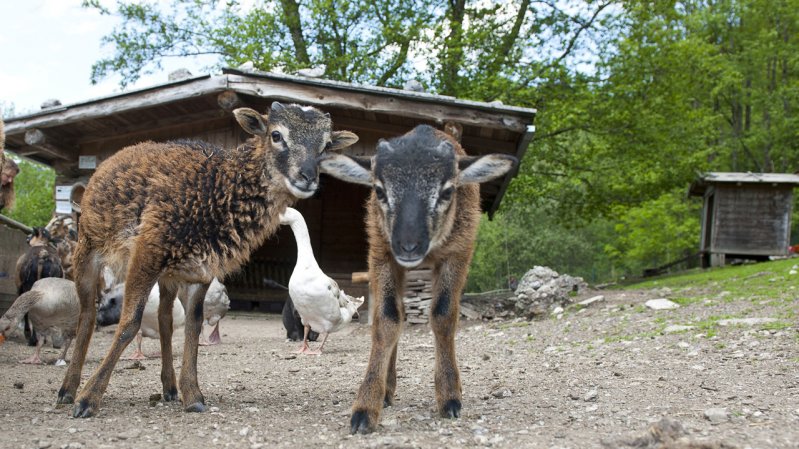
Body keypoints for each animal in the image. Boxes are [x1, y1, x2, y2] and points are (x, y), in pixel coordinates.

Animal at [56, 101, 356, 416]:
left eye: (325, 146)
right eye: (276, 135)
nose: (308, 177)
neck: (214, 188)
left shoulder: (199, 272)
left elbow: (193, 326)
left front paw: (193, 395)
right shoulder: (146, 254)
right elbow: (128, 323)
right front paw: (88, 399)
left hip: (169, 274)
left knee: (164, 318)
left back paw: (169, 387)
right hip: (88, 249)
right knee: (87, 315)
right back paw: (68, 389)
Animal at [320, 122, 520, 430]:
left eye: (447, 191)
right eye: (379, 191)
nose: (408, 245)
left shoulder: (459, 251)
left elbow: (443, 315)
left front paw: (450, 397)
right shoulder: (381, 251)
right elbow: (387, 318)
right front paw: (366, 407)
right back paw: (387, 390)